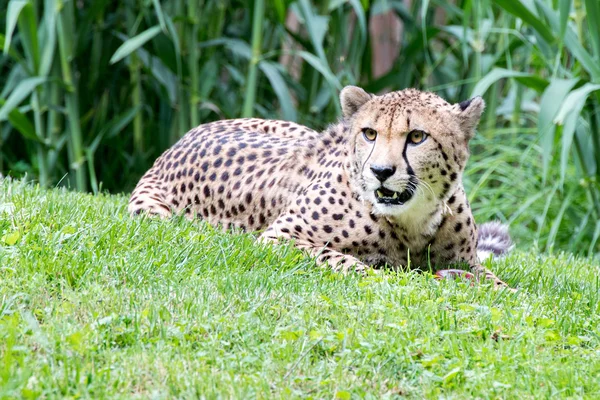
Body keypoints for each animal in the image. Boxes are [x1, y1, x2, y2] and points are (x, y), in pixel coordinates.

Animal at [130, 86, 510, 288]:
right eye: (369, 133)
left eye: (417, 136)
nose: (380, 171)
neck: (413, 219)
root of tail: (183, 137)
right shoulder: (279, 237)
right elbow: (340, 259)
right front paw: (380, 276)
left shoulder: (465, 261)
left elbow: (497, 282)